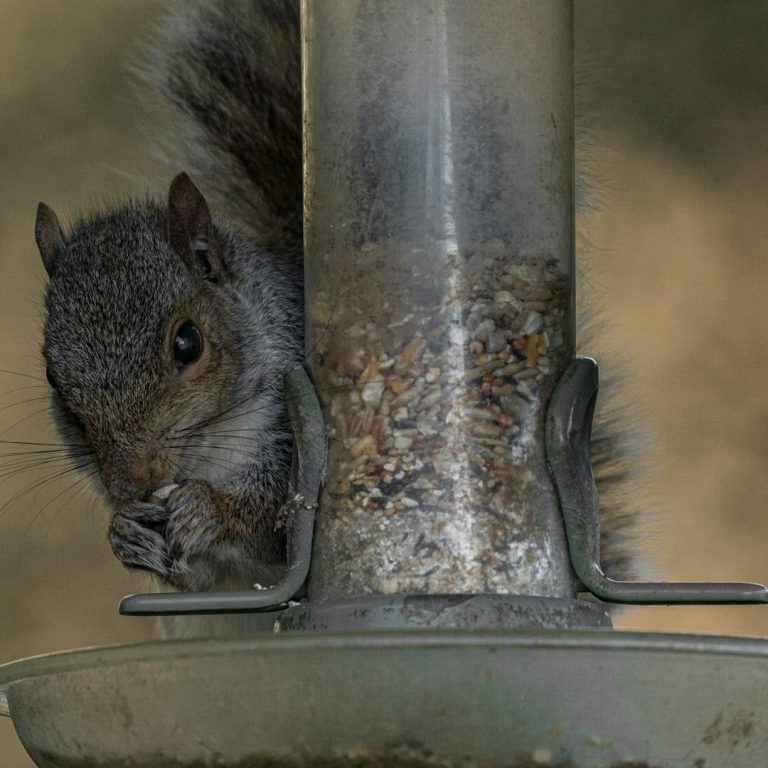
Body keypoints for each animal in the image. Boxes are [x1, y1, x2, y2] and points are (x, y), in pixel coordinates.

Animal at [34, 0, 645, 608]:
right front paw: (125, 533)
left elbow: (272, 516)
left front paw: (211, 508)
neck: (211, 451)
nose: (132, 481)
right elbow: (198, 578)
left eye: (188, 343)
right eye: (54, 383)